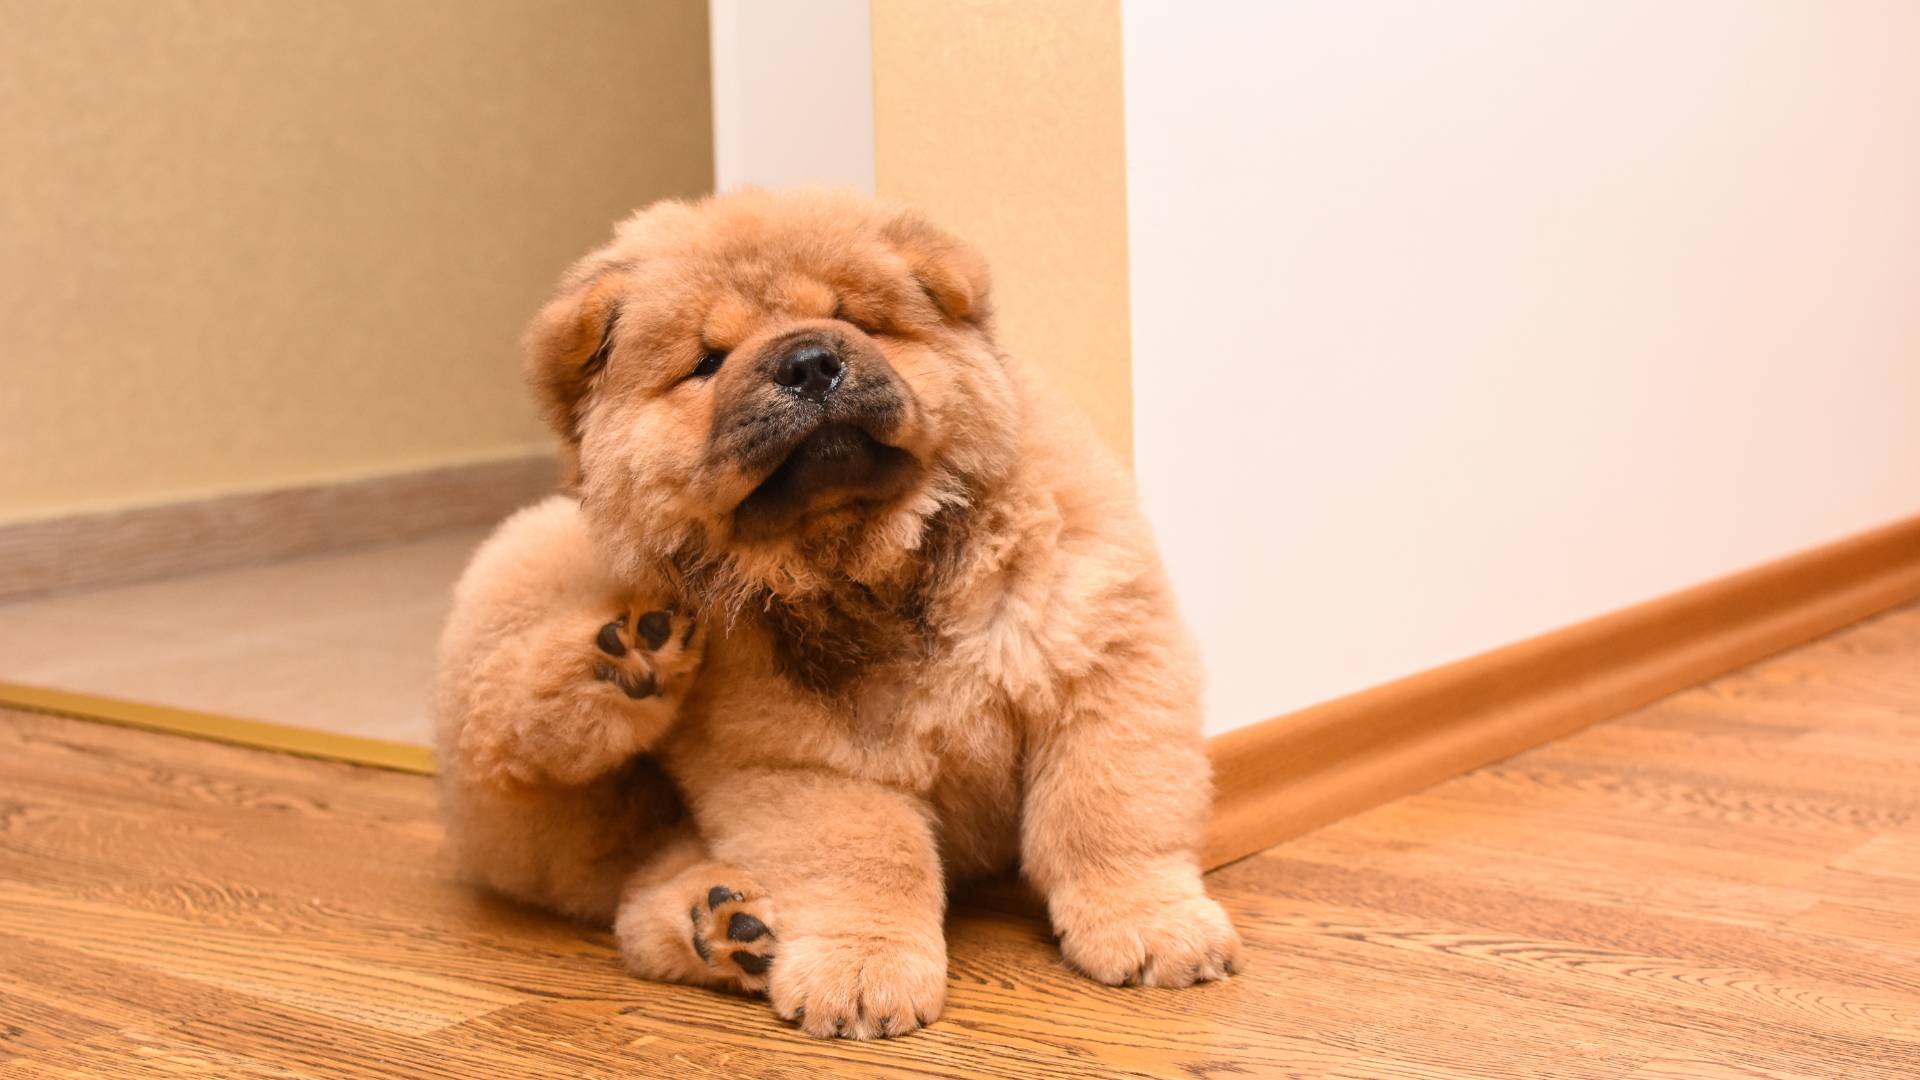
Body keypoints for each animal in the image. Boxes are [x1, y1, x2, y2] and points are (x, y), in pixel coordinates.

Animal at [435, 191, 1236, 1037]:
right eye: (707, 362)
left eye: (855, 320)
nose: (809, 363)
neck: (874, 563)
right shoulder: (805, 757)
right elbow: (869, 860)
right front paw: (861, 975)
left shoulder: (1103, 661)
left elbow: (1108, 814)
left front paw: (1153, 927)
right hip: (535, 584)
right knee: (512, 746)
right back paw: (620, 661)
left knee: (636, 892)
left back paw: (727, 923)